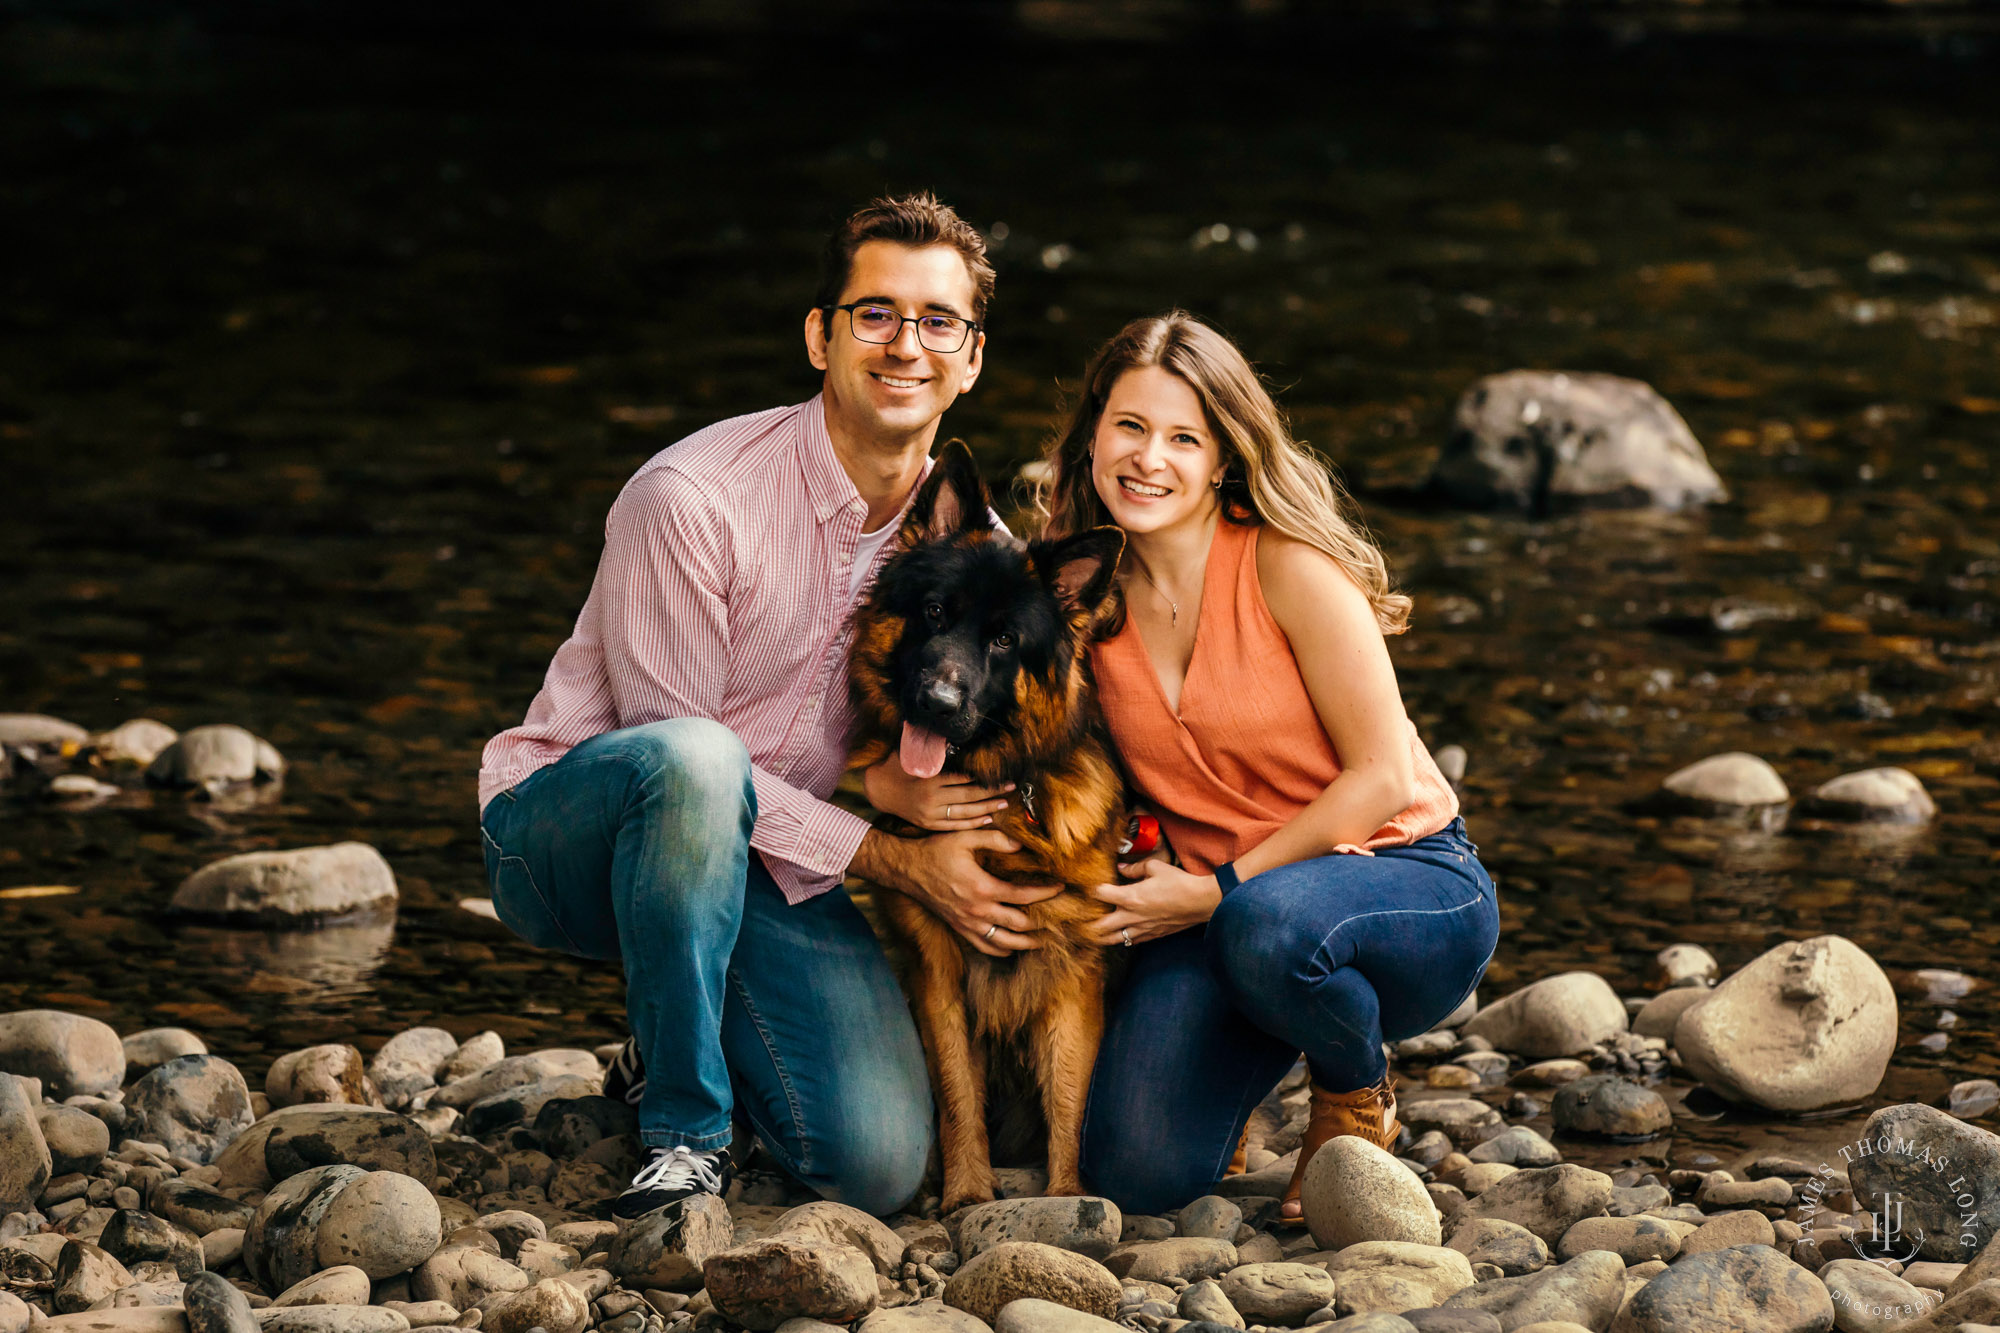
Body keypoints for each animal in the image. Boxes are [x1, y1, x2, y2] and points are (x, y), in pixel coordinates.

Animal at [844, 440, 1128, 1208]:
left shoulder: (1074, 973)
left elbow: (1070, 1096)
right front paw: (968, 1193)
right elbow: (956, 1089)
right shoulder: (935, 968)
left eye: (1004, 640)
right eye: (935, 611)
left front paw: (1067, 1198)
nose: (937, 703)